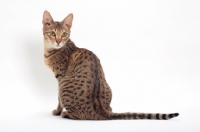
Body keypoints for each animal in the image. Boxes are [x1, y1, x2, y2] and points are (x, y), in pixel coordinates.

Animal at [41, 10, 178, 119]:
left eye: (64, 34)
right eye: (52, 33)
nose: (58, 41)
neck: (51, 50)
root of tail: (100, 110)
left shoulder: (60, 77)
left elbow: (58, 99)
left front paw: (58, 111)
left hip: (64, 85)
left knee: (81, 115)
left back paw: (66, 114)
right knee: (110, 109)